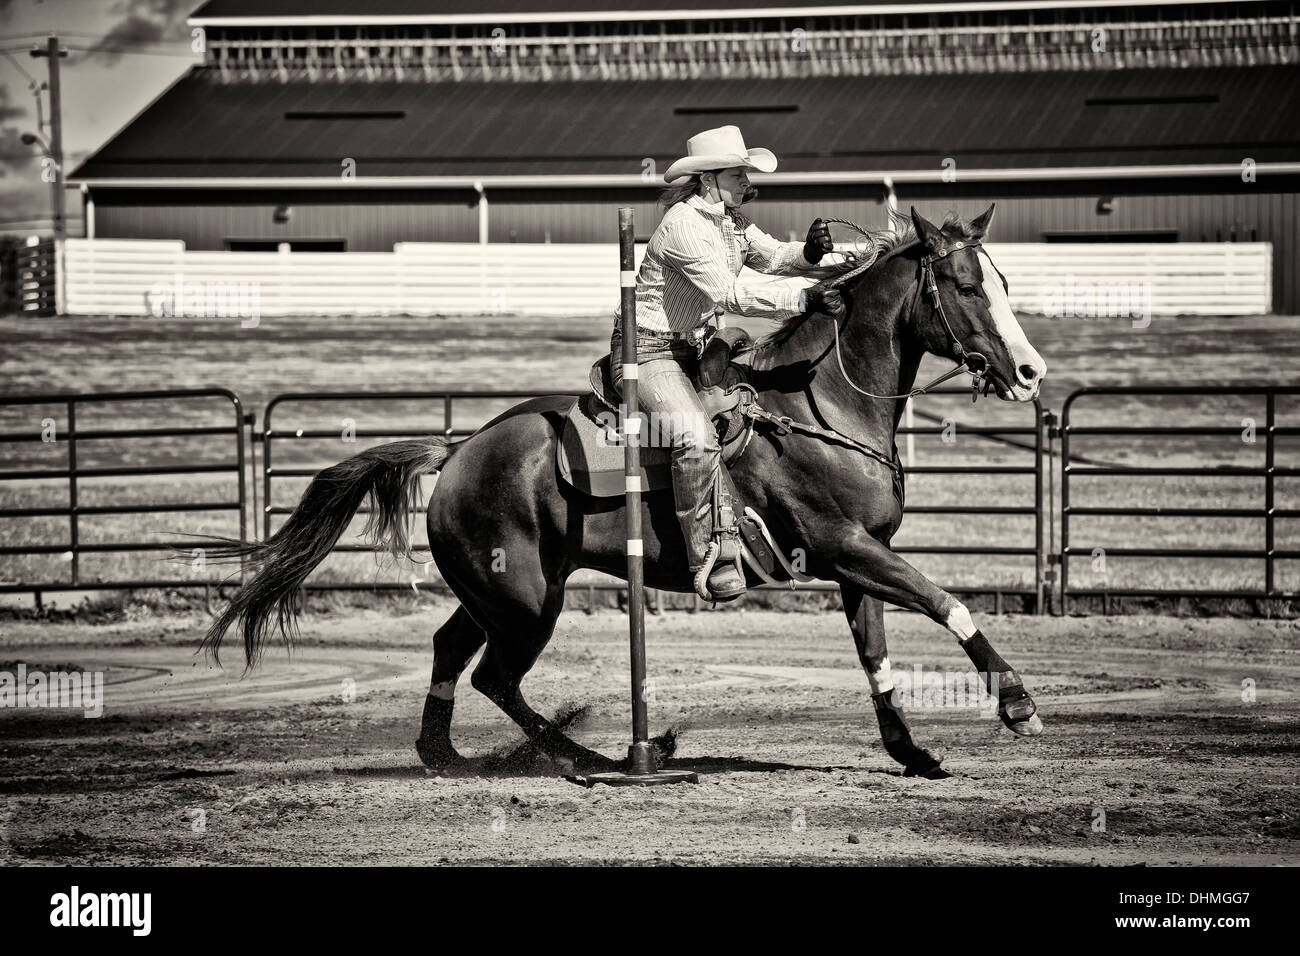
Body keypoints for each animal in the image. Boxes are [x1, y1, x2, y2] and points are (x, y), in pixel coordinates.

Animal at [201, 204, 1047, 779]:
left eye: (1005, 281)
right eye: (965, 285)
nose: (1031, 371)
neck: (818, 406)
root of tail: (460, 448)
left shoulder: (857, 561)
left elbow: (877, 656)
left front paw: (913, 752)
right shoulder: (843, 546)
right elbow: (947, 602)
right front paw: (1018, 706)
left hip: (498, 593)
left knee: (451, 650)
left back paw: (449, 753)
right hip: (526, 603)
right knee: (494, 676)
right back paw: (607, 756)